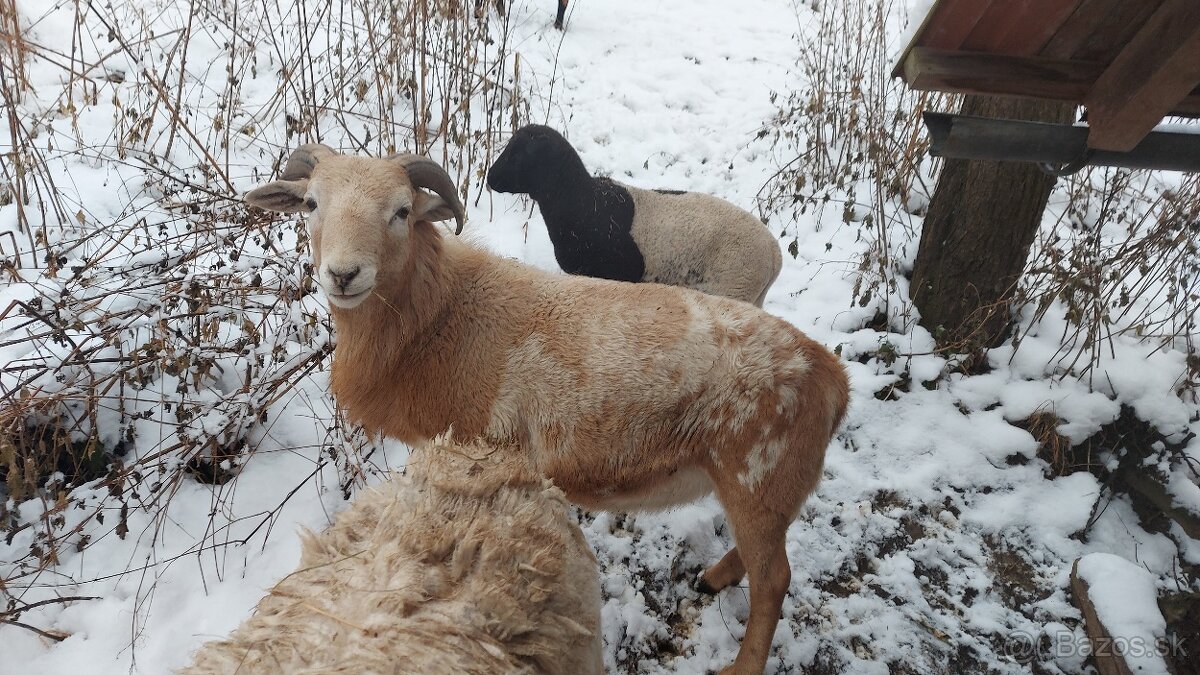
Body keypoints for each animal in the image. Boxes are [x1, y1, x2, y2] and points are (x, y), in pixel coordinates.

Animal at [243, 142, 849, 672]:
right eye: (311, 204)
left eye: (401, 211)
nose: (344, 275)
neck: (439, 315)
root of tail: (831, 375)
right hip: (763, 486)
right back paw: (715, 577)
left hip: (759, 474)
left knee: (774, 582)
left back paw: (741, 663)